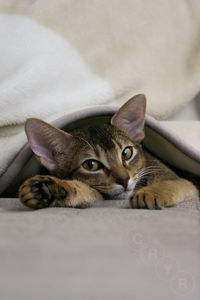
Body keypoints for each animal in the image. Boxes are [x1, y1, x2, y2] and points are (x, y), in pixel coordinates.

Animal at [18, 95, 198, 210]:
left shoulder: (188, 187)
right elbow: (86, 190)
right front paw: (50, 189)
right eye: (91, 165)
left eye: (126, 153)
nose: (124, 180)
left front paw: (150, 192)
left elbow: (172, 183)